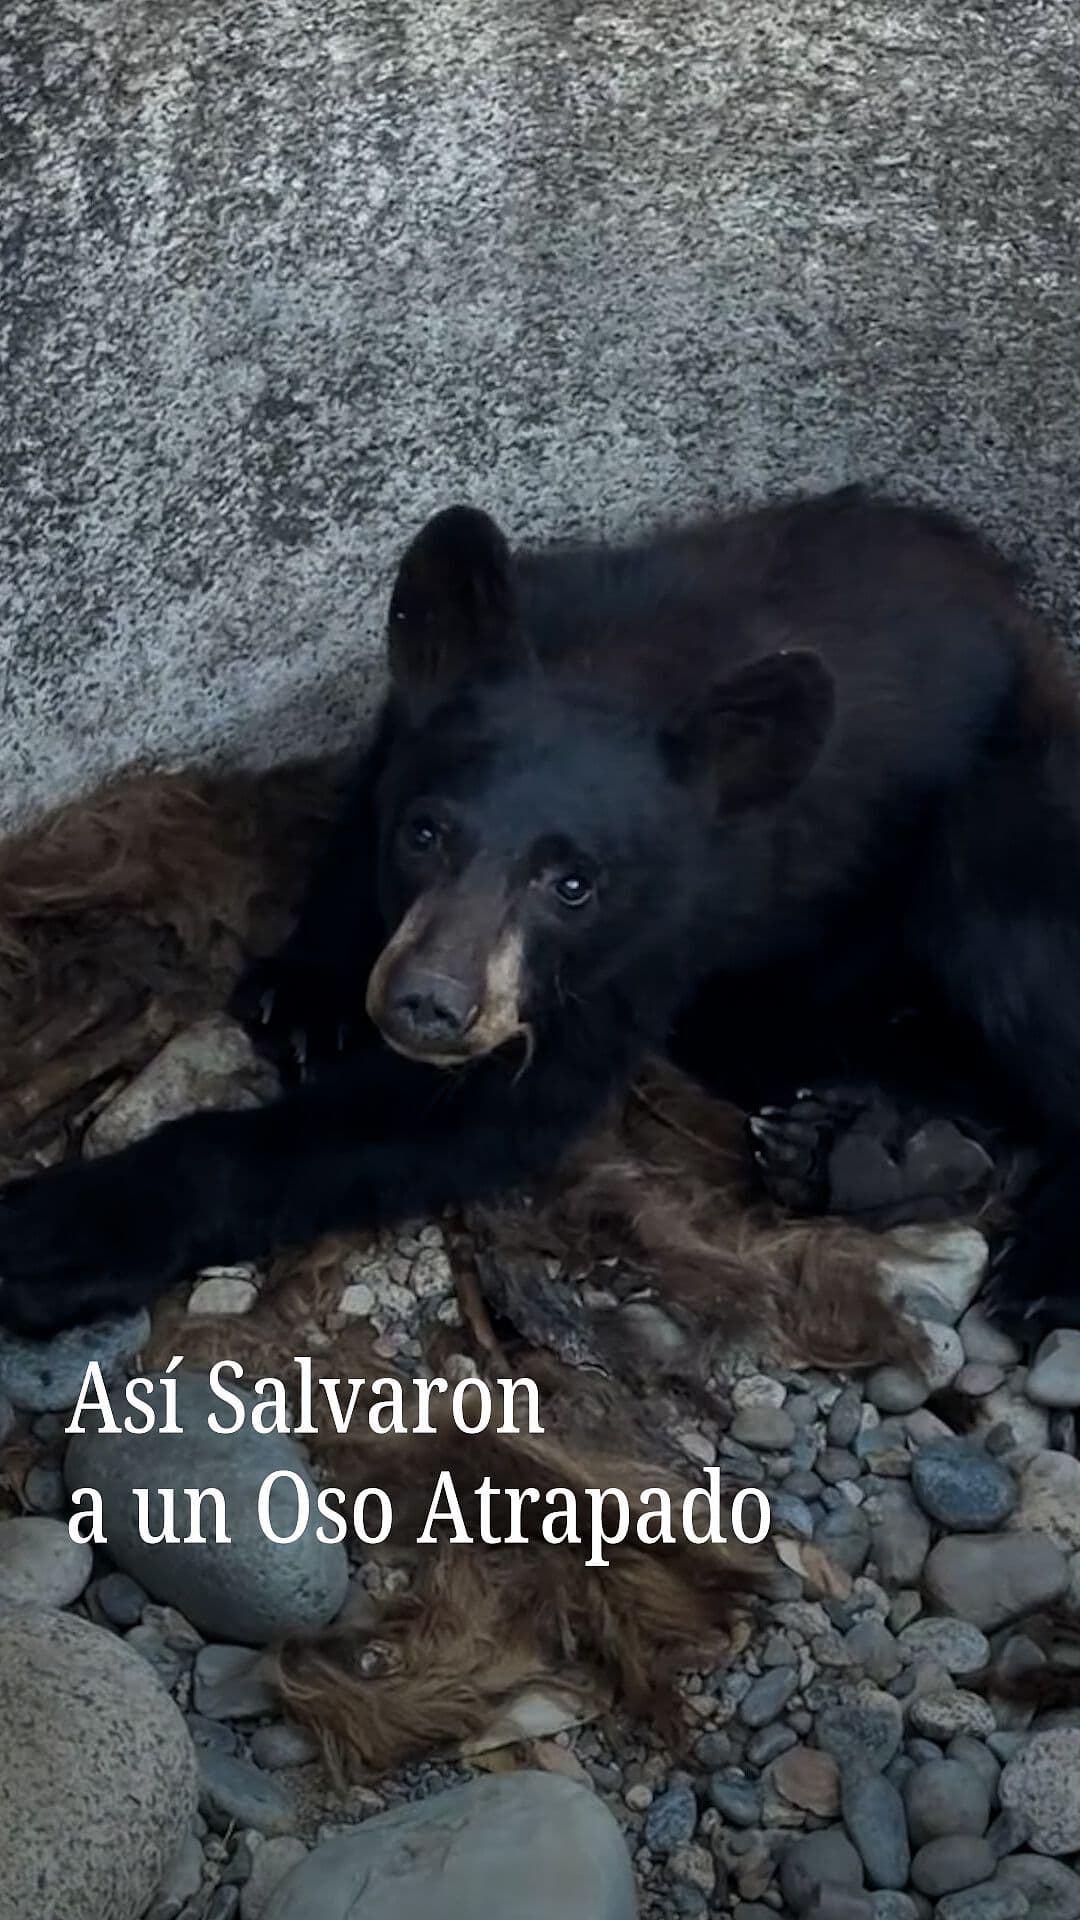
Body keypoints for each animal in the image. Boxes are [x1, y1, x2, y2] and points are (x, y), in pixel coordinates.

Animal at [0, 484, 1076, 1339]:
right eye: (425, 832)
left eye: (574, 884)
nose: (429, 1003)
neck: (626, 668)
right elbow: (358, 825)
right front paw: (307, 992)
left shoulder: (635, 944)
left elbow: (482, 1112)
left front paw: (60, 1234)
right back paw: (865, 1148)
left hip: (1002, 817)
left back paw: (1031, 1264)